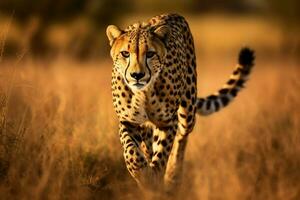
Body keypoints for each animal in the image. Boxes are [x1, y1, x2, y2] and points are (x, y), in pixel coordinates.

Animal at [106, 13, 254, 191]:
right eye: (125, 54)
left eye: (150, 54)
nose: (137, 75)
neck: (144, 92)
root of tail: (172, 14)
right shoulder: (128, 120)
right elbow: (131, 151)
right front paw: (142, 174)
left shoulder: (167, 122)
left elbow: (162, 153)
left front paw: (157, 178)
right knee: (148, 145)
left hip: (187, 111)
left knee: (182, 137)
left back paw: (173, 174)